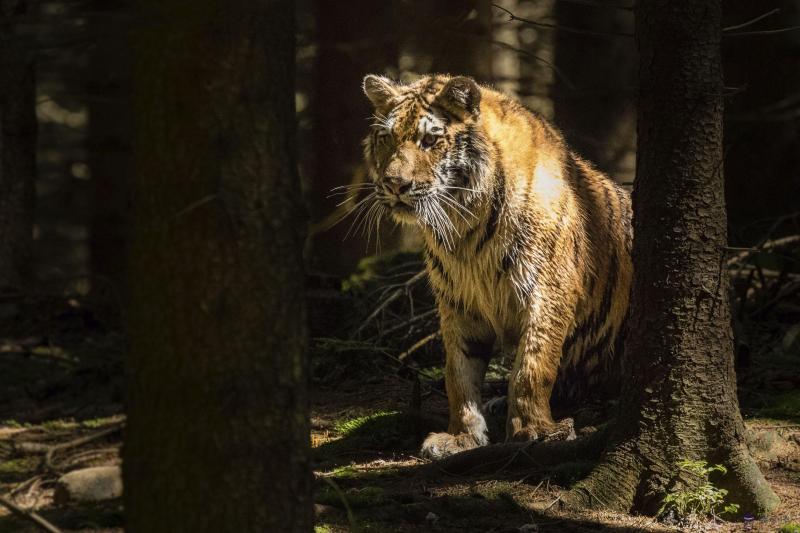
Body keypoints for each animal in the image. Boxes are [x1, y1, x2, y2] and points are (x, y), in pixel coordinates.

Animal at [360, 74, 632, 458]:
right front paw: (461, 437)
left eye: (430, 140)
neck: (464, 225)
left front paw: (535, 431)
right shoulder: (459, 302)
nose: (395, 184)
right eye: (387, 138)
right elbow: (459, 375)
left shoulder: (547, 293)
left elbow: (532, 366)